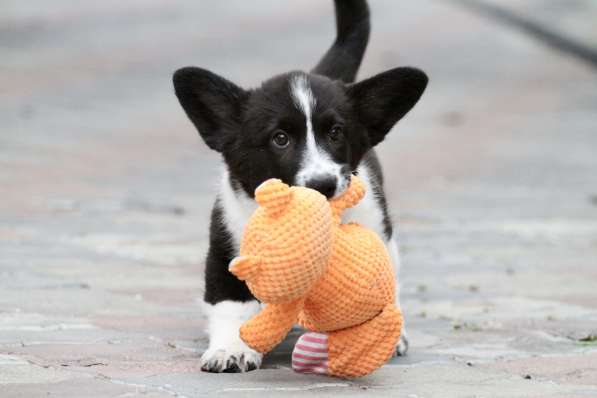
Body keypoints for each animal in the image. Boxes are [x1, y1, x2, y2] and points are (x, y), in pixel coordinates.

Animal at [172, 0, 428, 374]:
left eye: (335, 133)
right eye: (280, 139)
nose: (323, 185)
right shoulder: (226, 248)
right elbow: (230, 306)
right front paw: (230, 349)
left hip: (381, 231)